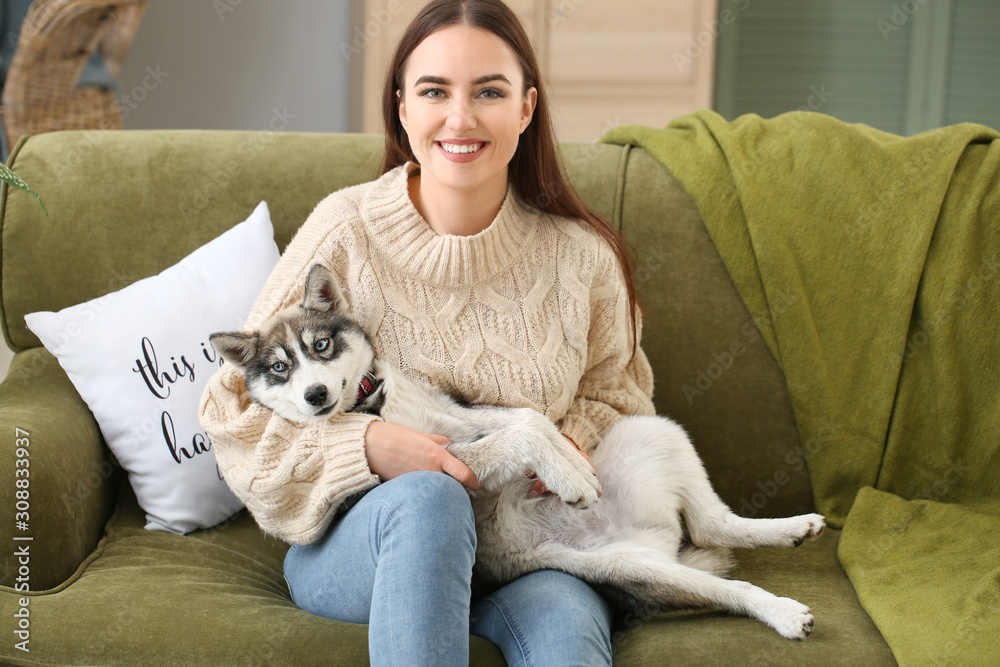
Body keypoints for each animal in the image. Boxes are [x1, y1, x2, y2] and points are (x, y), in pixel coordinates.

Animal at [207, 264, 824, 640]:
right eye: (278, 369)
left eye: (320, 345)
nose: (314, 396)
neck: (375, 403)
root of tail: (655, 540)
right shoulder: (444, 457)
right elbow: (519, 437)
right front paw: (570, 477)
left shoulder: (460, 414)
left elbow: (527, 420)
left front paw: (568, 464)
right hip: (628, 565)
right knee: (727, 583)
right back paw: (782, 610)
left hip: (654, 432)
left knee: (716, 525)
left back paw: (792, 528)